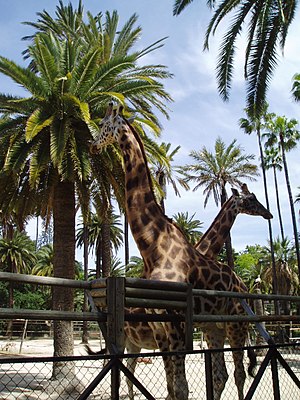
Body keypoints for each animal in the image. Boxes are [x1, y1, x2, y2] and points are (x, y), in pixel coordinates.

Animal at [90, 104, 270, 400]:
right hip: (210, 328)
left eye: (104, 124)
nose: (93, 145)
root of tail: (243, 285)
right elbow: (172, 387)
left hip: (236, 324)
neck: (153, 247)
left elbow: (181, 388)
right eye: (252, 198)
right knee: (219, 375)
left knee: (239, 373)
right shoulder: (161, 326)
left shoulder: (178, 323)